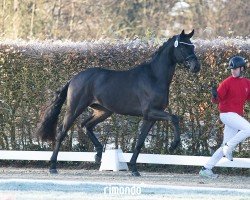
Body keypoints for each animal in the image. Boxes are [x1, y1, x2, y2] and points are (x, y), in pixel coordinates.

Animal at [36, 30, 201, 177]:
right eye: (183, 47)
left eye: (192, 46)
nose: (196, 67)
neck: (154, 77)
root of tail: (74, 78)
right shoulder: (150, 112)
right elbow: (174, 118)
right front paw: (173, 145)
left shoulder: (150, 117)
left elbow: (140, 142)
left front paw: (134, 169)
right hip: (75, 108)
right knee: (62, 133)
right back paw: (53, 167)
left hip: (103, 111)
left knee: (86, 125)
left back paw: (98, 154)